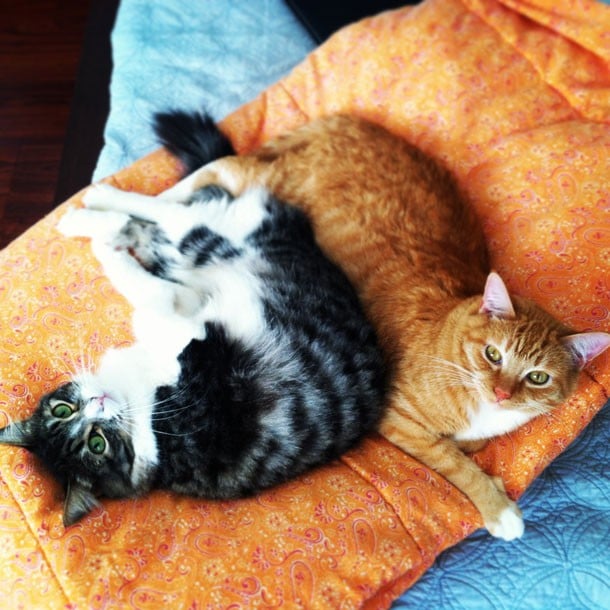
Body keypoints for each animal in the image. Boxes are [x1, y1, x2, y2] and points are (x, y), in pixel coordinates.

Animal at [152, 113, 608, 536]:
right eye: (493, 354)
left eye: (537, 378)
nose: (500, 393)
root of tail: (352, 123)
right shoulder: (399, 418)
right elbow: (453, 461)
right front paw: (497, 507)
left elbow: (469, 446)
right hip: (265, 185)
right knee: (216, 171)